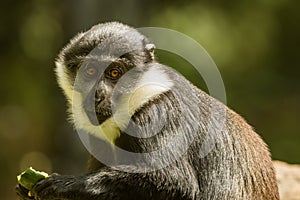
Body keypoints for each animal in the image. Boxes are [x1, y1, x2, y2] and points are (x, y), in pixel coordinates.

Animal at [15, 22, 278, 200]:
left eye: (114, 72)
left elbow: (175, 182)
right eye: (89, 71)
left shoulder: (157, 112)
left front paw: (65, 185)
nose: (97, 94)